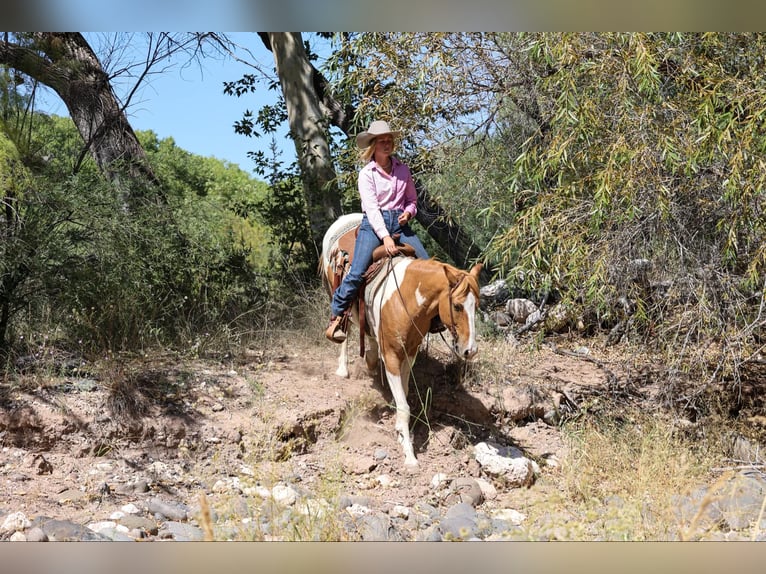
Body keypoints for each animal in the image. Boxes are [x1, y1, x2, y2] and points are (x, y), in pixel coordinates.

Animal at [321, 213, 483, 469]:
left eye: (476, 305)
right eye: (457, 306)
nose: (470, 350)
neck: (404, 298)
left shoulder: (410, 353)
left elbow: (404, 396)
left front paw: (400, 431)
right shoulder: (392, 355)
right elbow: (404, 406)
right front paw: (409, 454)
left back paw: (370, 360)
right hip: (335, 291)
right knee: (343, 323)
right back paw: (342, 367)